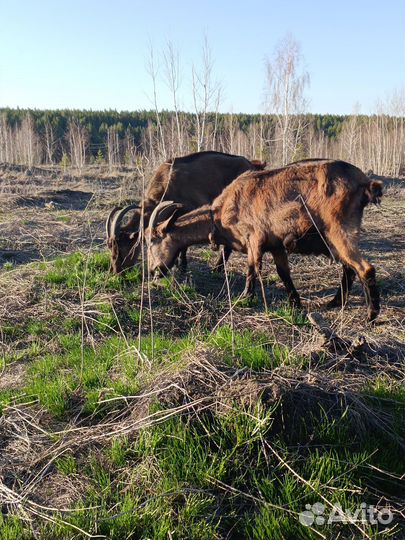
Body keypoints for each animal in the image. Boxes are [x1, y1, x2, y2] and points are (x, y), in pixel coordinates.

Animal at [105, 151, 266, 274]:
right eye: (111, 247)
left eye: (122, 248)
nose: (116, 271)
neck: (167, 184)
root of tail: (252, 165)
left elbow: (184, 243)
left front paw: (181, 266)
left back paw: (218, 268)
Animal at [146, 159, 382, 320]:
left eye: (152, 240)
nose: (152, 271)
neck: (219, 214)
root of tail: (365, 182)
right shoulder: (276, 245)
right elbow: (284, 273)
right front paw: (295, 303)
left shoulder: (254, 239)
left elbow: (252, 269)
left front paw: (245, 297)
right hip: (333, 240)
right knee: (348, 269)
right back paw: (335, 302)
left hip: (338, 230)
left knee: (364, 268)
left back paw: (371, 314)